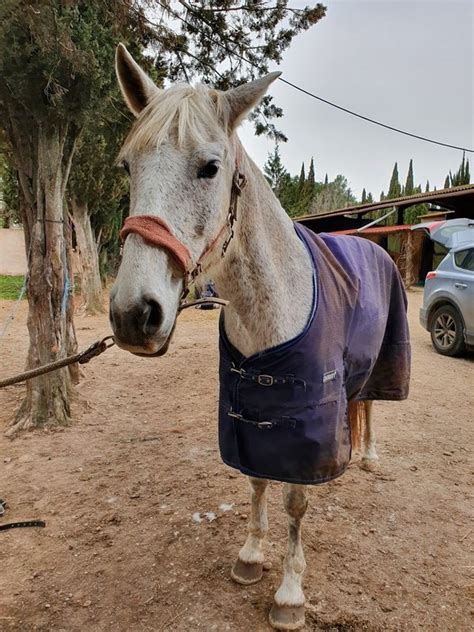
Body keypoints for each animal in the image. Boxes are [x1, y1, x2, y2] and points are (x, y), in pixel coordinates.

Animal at [111, 42, 388, 628]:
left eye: (210, 168)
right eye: (127, 167)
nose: (132, 313)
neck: (270, 311)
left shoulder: (305, 432)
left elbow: (295, 503)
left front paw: (289, 593)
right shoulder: (249, 415)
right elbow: (258, 481)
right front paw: (252, 556)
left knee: (372, 404)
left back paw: (371, 456)